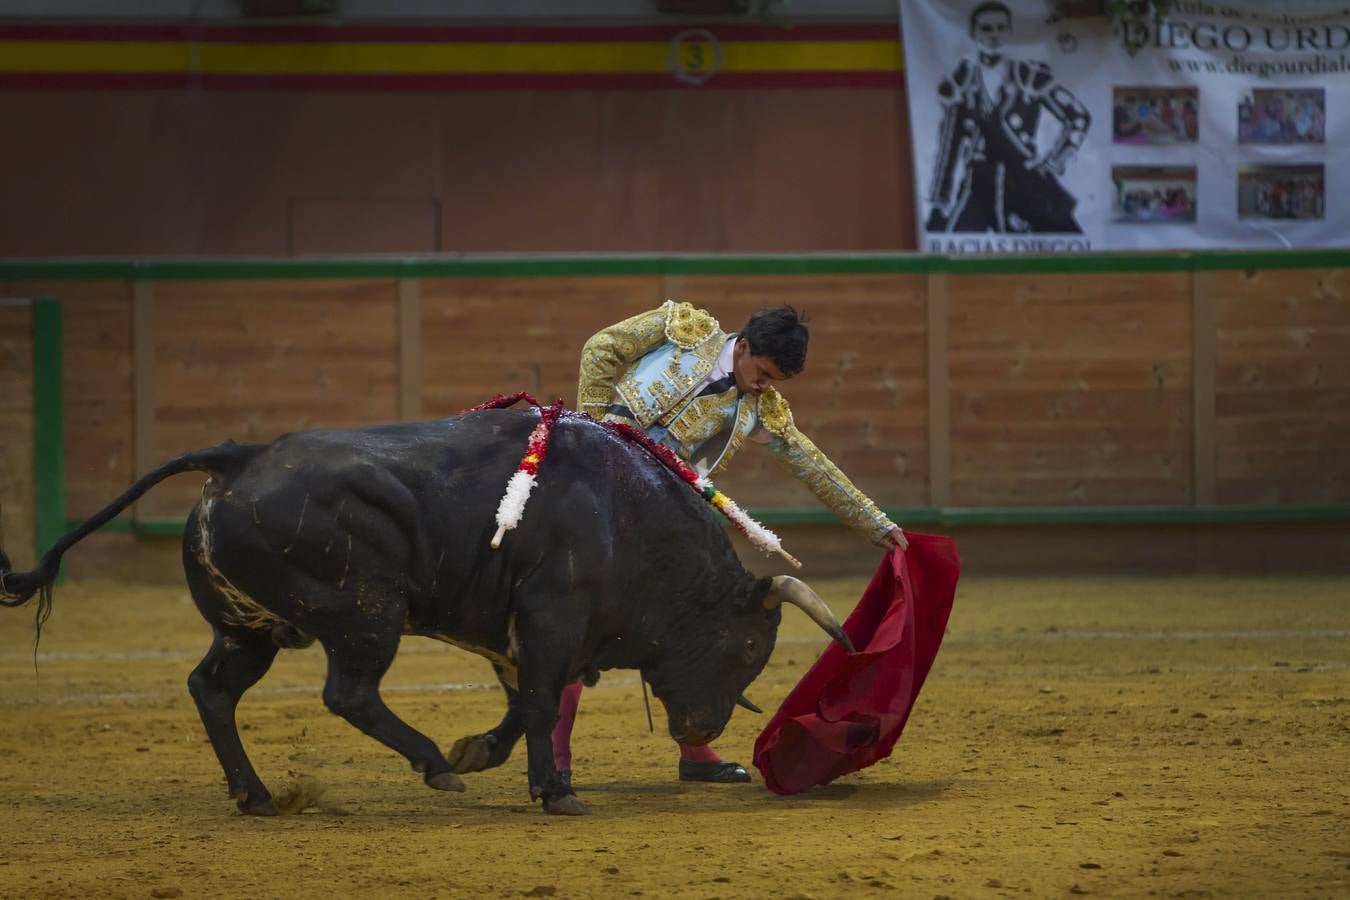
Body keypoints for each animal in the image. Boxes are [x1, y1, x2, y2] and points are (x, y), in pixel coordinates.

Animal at [5, 407, 847, 814]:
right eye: (747, 649)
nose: (702, 728)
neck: (625, 513)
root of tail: (241, 455)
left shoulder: (517, 634)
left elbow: (521, 706)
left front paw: (488, 755)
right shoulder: (551, 616)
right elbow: (541, 701)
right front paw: (555, 792)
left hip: (251, 627)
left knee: (212, 688)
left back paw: (257, 795)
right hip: (365, 613)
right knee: (347, 692)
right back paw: (432, 765)